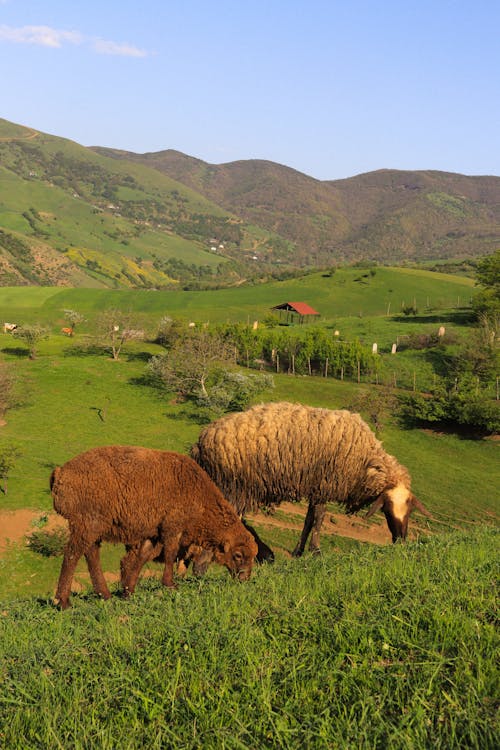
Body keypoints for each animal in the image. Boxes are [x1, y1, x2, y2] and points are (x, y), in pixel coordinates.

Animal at [50, 446, 258, 612]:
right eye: (238, 555)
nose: (244, 578)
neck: (201, 499)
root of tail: (60, 474)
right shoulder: (172, 527)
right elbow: (170, 554)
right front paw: (169, 584)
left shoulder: (154, 533)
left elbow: (142, 557)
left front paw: (128, 591)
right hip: (86, 523)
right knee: (72, 555)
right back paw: (63, 602)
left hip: (94, 528)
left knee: (91, 555)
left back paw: (105, 595)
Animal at [189, 406, 432, 560]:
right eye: (387, 511)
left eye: (409, 512)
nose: (400, 540)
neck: (364, 461)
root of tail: (200, 442)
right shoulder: (324, 484)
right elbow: (319, 519)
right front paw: (316, 552)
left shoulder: (315, 487)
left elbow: (308, 521)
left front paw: (299, 551)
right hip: (234, 486)